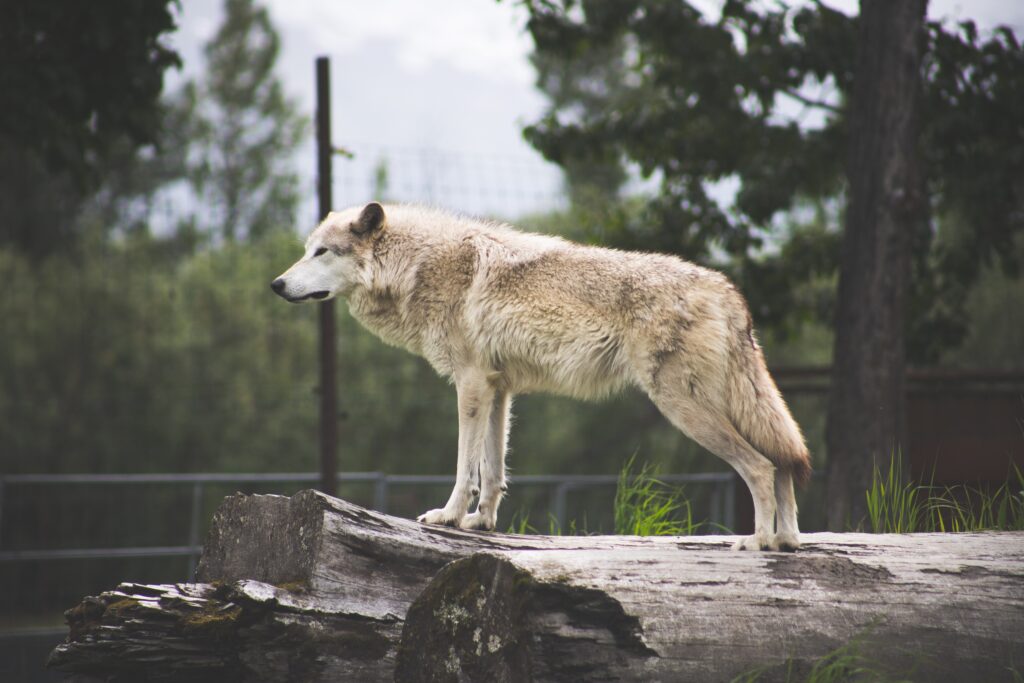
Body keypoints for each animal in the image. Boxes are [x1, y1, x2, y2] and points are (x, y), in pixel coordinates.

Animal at [270, 201, 806, 548]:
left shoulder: (469, 384)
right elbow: (493, 471)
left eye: (321, 252)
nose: (275, 284)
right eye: (306, 249)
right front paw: (482, 524)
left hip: (682, 407)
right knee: (783, 462)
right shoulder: (499, 389)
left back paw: (757, 542)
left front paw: (448, 516)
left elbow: (465, 467)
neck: (418, 265)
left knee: (762, 466)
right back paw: (786, 542)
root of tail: (728, 292)